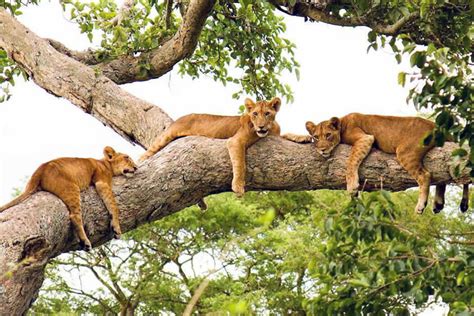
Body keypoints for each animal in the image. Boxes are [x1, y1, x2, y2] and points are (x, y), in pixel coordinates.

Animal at [0, 147, 138, 251]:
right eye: (126, 157)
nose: (136, 167)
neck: (105, 163)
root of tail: (41, 169)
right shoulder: (102, 182)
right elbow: (114, 206)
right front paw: (116, 228)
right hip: (72, 188)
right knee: (74, 216)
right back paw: (85, 242)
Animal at [141, 97, 282, 195]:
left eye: (267, 113)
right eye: (255, 114)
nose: (261, 126)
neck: (270, 129)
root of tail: (179, 118)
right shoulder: (235, 141)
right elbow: (240, 163)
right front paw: (238, 186)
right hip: (167, 136)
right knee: (146, 153)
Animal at [284, 113, 468, 215]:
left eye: (328, 135)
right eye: (316, 137)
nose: (322, 150)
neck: (342, 122)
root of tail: (436, 125)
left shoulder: (365, 138)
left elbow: (351, 161)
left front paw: (352, 186)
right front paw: (291, 136)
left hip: (405, 152)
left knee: (426, 175)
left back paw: (421, 206)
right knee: (442, 178)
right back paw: (439, 203)